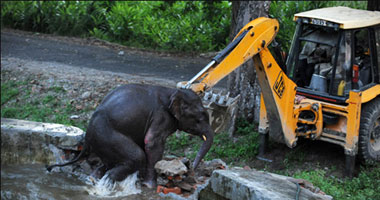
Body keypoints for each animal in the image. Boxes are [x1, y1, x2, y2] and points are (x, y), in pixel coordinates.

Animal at [46, 83, 214, 188]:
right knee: (136, 156)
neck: (173, 91)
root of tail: (87, 136)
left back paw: (94, 178)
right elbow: (151, 142)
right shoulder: (161, 117)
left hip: (102, 141)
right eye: (200, 118)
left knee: (108, 162)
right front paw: (150, 186)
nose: (192, 169)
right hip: (107, 135)